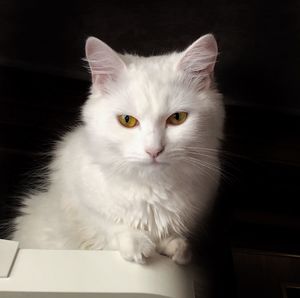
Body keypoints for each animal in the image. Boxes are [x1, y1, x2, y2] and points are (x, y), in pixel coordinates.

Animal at [11, 33, 224, 264]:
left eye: (177, 118)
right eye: (127, 120)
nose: (154, 150)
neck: (151, 190)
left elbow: (173, 235)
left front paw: (176, 248)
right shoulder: (77, 204)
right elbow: (106, 225)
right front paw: (137, 244)